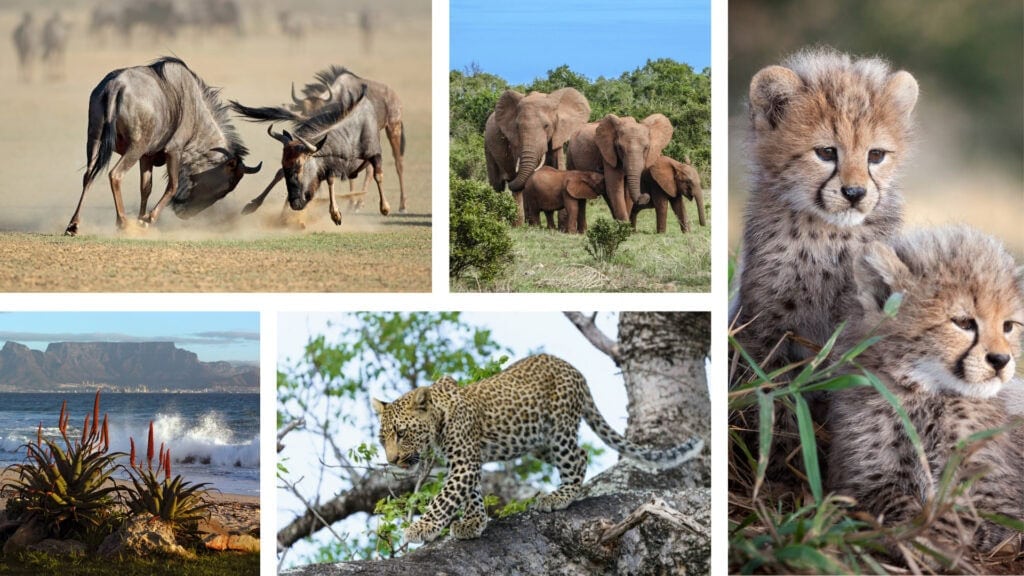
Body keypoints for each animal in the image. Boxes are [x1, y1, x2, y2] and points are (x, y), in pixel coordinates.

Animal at [372, 350, 708, 541]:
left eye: (401, 433)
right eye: (383, 439)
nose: (392, 460)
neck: (438, 418)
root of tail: (575, 371)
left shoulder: (464, 461)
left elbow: (445, 498)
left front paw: (420, 528)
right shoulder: (468, 462)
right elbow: (472, 494)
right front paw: (473, 523)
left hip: (559, 430)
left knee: (578, 457)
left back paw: (559, 496)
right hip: (536, 440)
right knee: (580, 454)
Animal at [481, 88, 589, 224]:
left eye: (546, 126)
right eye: (517, 127)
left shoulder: (558, 134)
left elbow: (559, 166)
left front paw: (562, 225)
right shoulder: (516, 141)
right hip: (487, 146)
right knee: (498, 185)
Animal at [827, 225, 1019, 565]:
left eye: (1009, 326)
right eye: (964, 322)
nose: (1001, 360)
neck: (928, 394)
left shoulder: (1002, 499)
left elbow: (962, 507)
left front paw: (933, 537)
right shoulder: (861, 479)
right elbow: (890, 498)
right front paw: (912, 533)